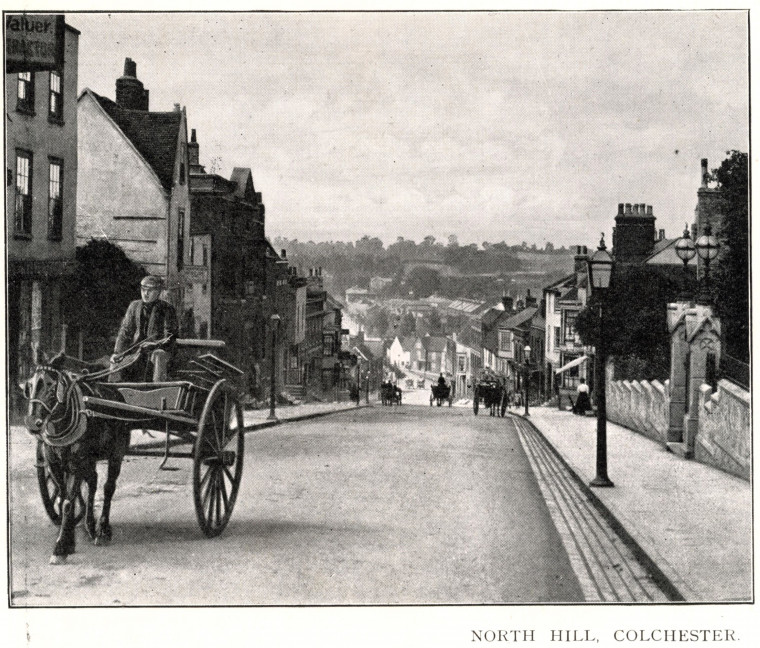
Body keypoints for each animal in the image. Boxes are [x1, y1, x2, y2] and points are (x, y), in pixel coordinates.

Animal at [23, 354, 131, 560]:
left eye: (51, 385)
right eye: (29, 385)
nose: (33, 423)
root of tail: (117, 394)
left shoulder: (76, 463)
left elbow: (67, 502)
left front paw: (61, 546)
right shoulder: (55, 465)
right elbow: (63, 499)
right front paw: (69, 539)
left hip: (116, 454)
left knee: (108, 488)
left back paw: (103, 530)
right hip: (90, 460)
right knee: (93, 483)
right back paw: (90, 526)